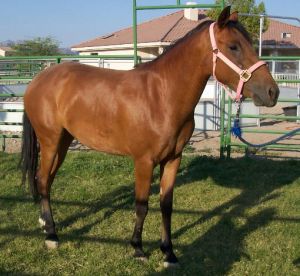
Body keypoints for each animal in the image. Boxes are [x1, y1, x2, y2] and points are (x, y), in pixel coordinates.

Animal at [20, 7, 278, 268]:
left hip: (63, 142)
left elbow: (166, 206)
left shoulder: (173, 159)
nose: (272, 92)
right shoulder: (144, 162)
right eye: (234, 47)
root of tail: (38, 79)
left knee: (45, 179)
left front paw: (169, 253)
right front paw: (138, 248)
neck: (162, 96)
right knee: (43, 180)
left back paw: (44, 224)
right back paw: (51, 235)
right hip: (50, 142)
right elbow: (142, 205)